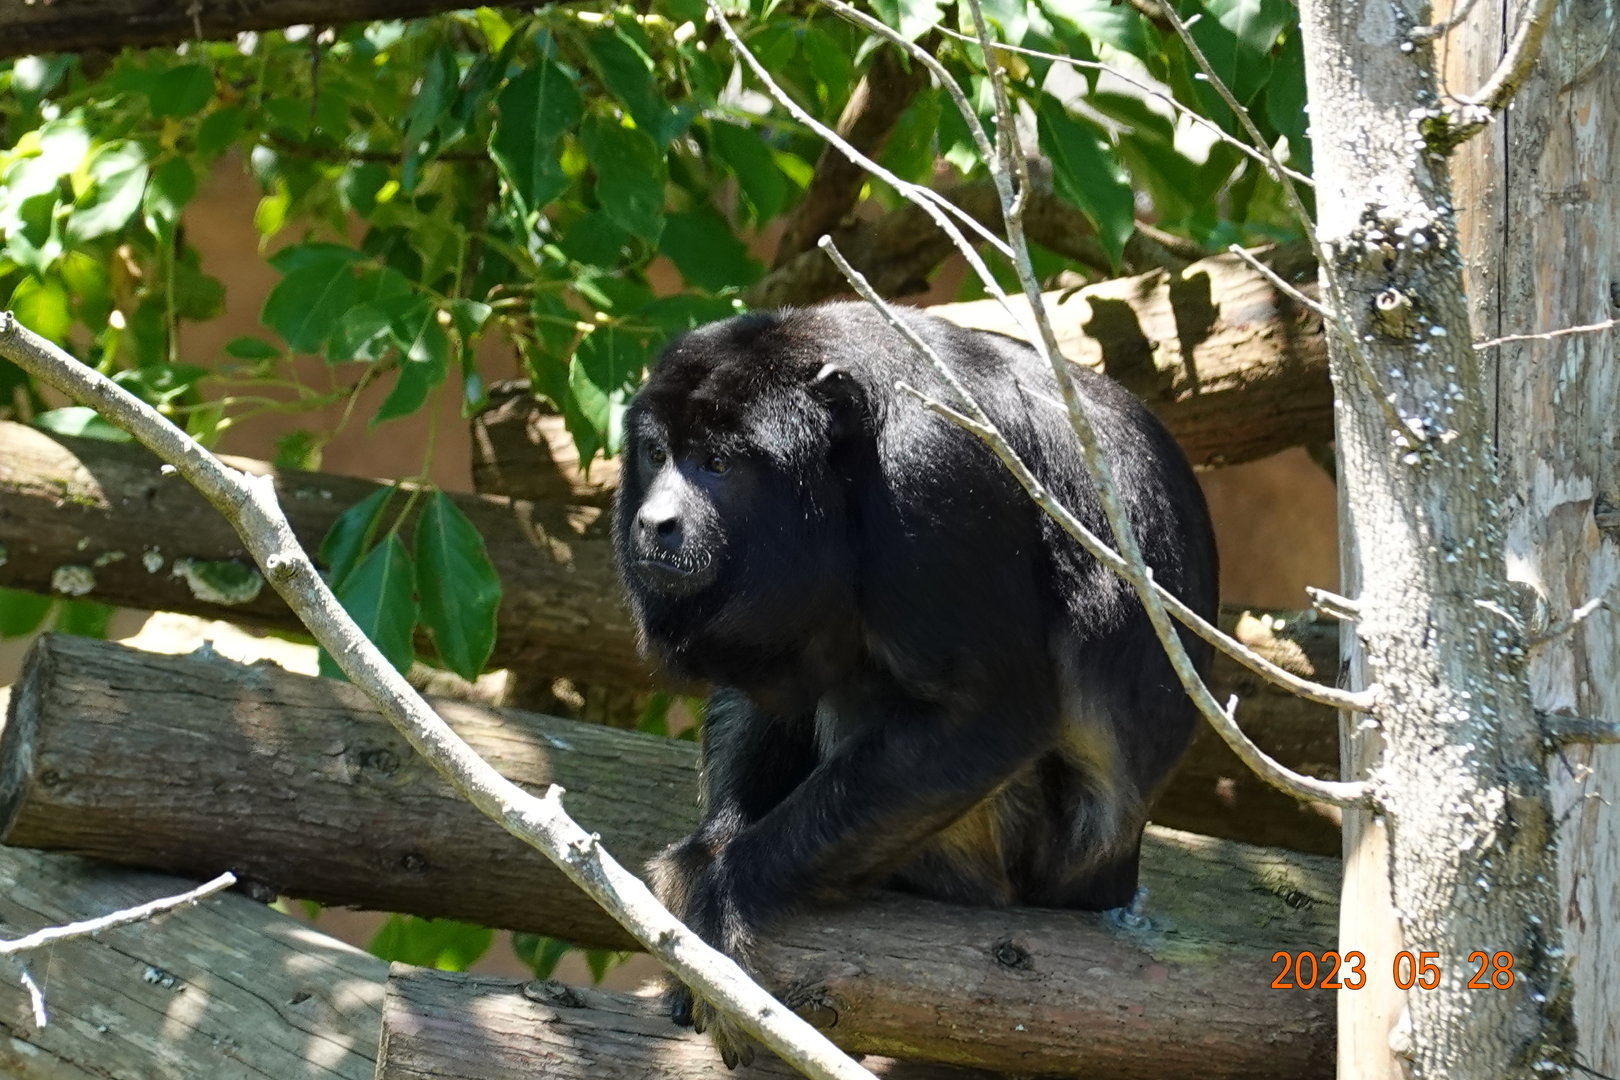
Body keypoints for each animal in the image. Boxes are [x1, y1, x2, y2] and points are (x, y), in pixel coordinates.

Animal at [612, 301, 1218, 1066]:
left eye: (718, 465)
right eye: (656, 454)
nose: (655, 520)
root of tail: (1114, 873)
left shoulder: (933, 475)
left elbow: (990, 712)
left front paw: (724, 893)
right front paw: (703, 858)